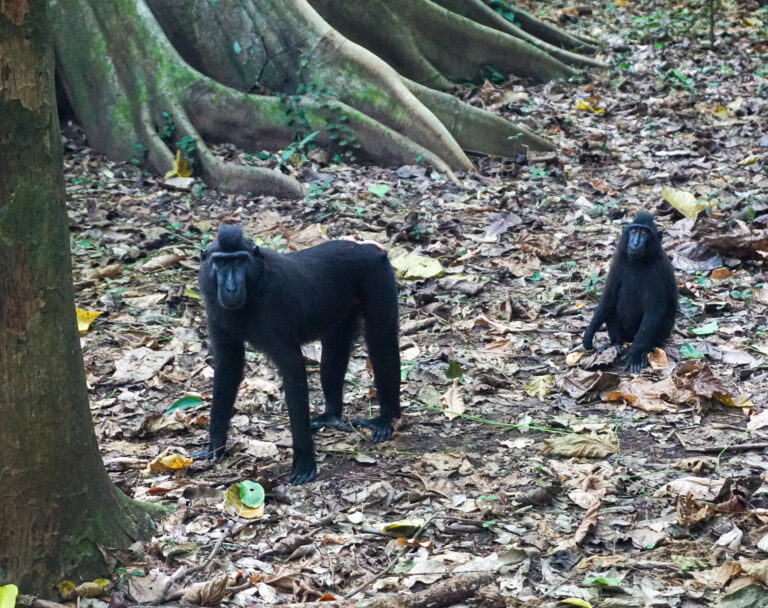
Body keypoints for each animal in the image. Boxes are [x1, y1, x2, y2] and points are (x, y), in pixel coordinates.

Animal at [196, 224, 400, 485]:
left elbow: (292, 368)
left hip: (378, 277)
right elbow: (228, 365)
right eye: (221, 262)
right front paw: (215, 445)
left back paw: (386, 418)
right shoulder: (215, 310)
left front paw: (304, 461)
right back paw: (330, 416)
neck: (256, 284)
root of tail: (367, 247)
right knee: (335, 345)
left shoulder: (273, 307)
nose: (231, 287)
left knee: (380, 340)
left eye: (240, 261)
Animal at [582, 211, 678, 373]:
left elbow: (654, 311)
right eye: (633, 230)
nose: (635, 242)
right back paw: (616, 344)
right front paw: (589, 333)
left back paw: (644, 351)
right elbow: (608, 298)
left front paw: (634, 354)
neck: (639, 262)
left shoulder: (659, 270)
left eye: (644, 232)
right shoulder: (617, 263)